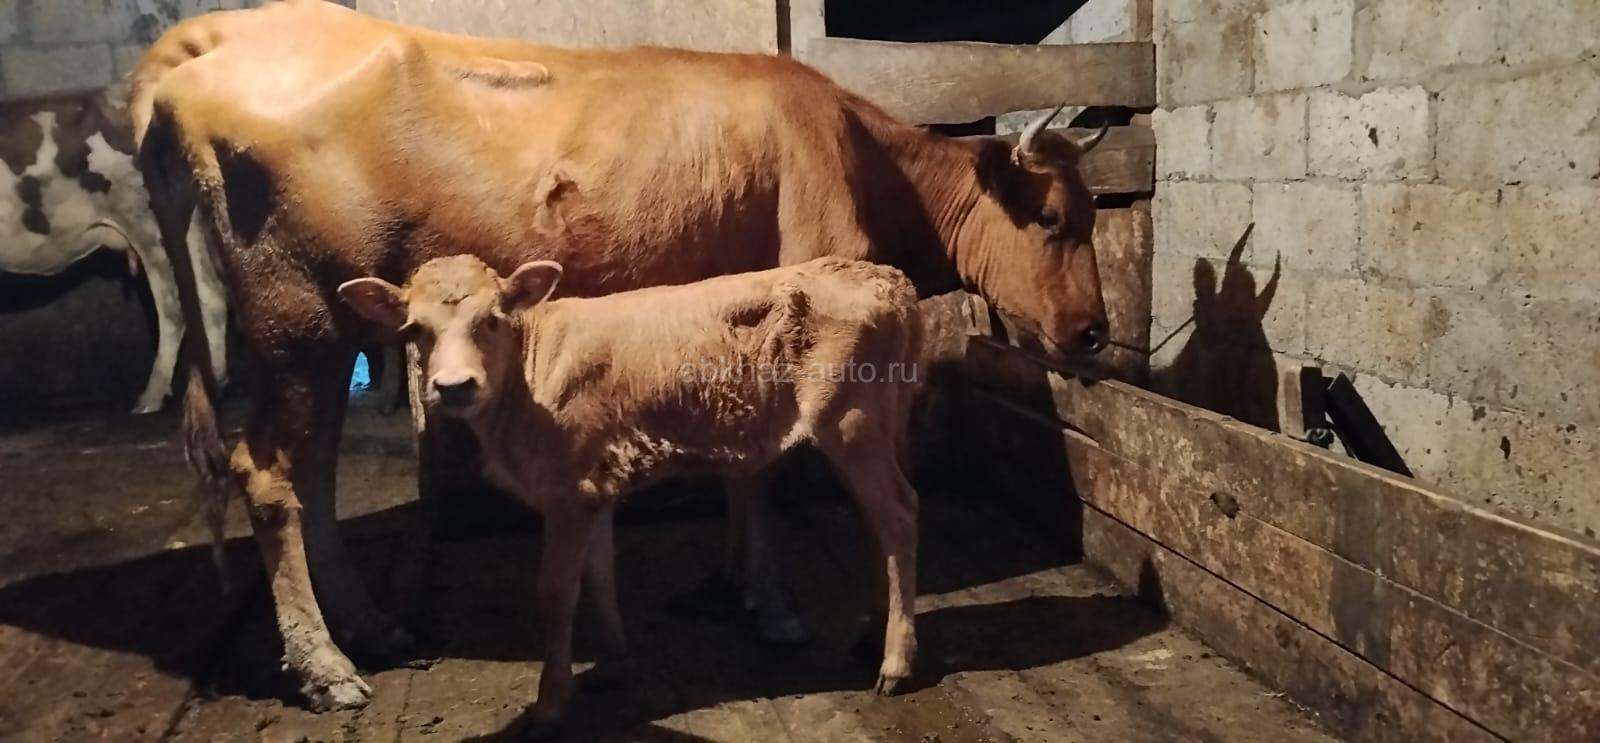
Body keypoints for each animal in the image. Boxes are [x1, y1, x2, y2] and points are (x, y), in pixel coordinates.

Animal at [1, 88, 228, 413]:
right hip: (187, 224)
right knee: (210, 294)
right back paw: (216, 382)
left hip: (149, 222)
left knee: (175, 307)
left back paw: (149, 399)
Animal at [339, 254, 922, 731]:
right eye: (415, 329)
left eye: (492, 320)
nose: (455, 386)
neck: (528, 375)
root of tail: (886, 277)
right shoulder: (596, 486)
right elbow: (600, 576)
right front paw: (617, 663)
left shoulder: (568, 493)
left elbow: (555, 592)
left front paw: (551, 702)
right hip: (876, 424)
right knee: (876, 522)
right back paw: (873, 634)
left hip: (850, 422)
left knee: (898, 515)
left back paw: (895, 663)